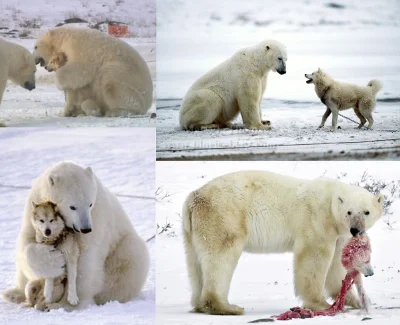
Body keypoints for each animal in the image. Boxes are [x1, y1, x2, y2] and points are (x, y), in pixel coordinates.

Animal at [2, 161, 150, 310]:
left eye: (90, 204)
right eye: (72, 206)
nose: (86, 228)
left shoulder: (97, 217)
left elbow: (85, 259)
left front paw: (67, 304)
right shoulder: (34, 205)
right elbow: (27, 241)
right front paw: (53, 260)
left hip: (122, 247)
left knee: (128, 258)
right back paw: (14, 293)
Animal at [182, 170, 384, 314]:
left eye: (366, 212)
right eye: (349, 212)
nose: (356, 230)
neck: (331, 202)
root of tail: (193, 197)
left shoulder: (339, 233)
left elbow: (336, 265)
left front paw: (355, 301)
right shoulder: (317, 220)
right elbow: (314, 257)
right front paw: (320, 304)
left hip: (192, 230)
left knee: (195, 263)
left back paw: (200, 304)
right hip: (224, 216)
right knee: (220, 257)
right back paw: (226, 307)